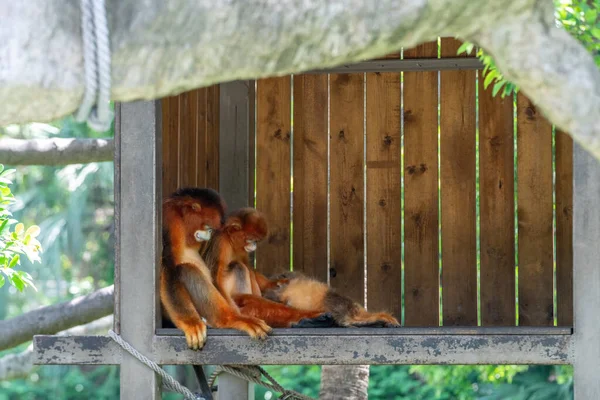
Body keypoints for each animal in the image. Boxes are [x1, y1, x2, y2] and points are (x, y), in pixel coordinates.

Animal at [161, 189, 270, 348]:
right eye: (208, 226)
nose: (209, 233)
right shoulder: (170, 220)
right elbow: (170, 268)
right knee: (188, 269)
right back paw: (231, 319)